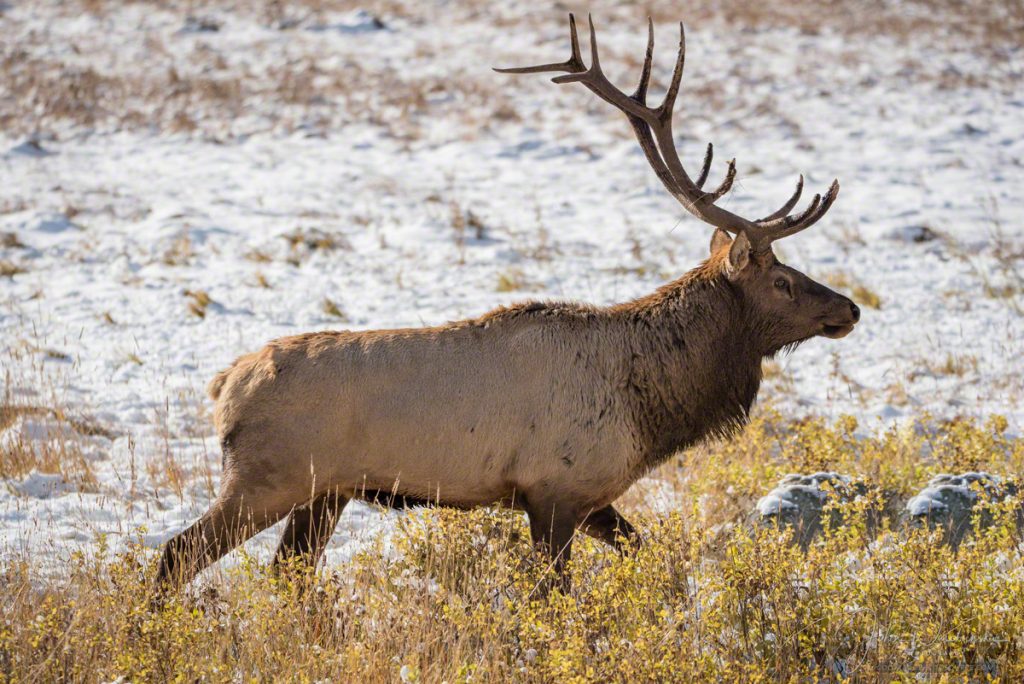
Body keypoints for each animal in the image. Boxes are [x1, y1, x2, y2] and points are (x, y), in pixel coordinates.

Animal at [153, 15, 856, 589]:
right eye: (782, 280)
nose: (849, 309)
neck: (651, 405)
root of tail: (224, 385)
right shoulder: (553, 489)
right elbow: (554, 595)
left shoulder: (587, 496)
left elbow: (647, 553)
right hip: (268, 477)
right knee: (175, 554)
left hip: (324, 492)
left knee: (289, 576)